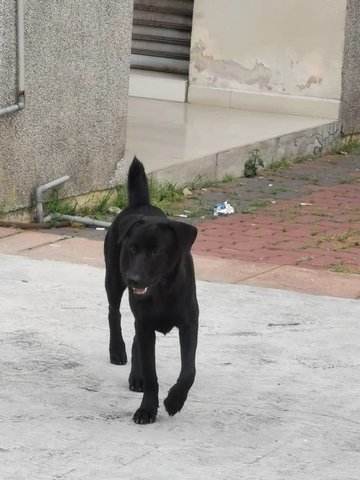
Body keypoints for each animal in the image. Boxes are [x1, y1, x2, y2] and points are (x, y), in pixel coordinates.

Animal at [104, 157, 200, 424]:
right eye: (132, 249)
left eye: (157, 251)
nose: (133, 279)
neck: (162, 290)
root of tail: (141, 203)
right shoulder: (146, 324)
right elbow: (152, 375)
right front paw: (147, 409)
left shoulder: (190, 323)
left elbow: (189, 370)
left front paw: (174, 401)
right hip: (112, 278)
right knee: (114, 313)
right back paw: (118, 351)